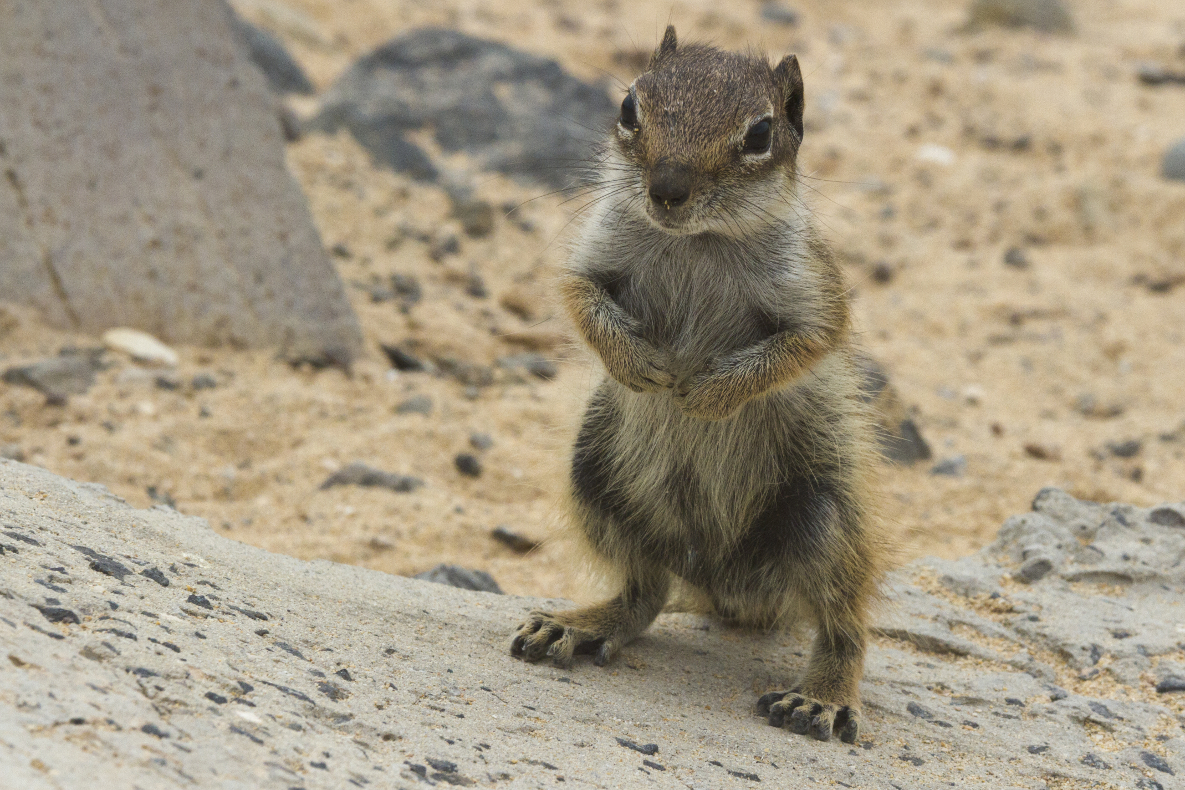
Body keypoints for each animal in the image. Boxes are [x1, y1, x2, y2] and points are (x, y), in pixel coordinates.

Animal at [511, 29, 891, 748]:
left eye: (760, 134)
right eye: (629, 106)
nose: (667, 189)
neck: (697, 242)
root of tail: (723, 584)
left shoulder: (813, 292)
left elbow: (806, 343)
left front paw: (707, 395)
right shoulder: (593, 254)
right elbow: (580, 299)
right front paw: (640, 367)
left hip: (823, 516)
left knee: (844, 625)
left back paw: (820, 698)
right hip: (592, 476)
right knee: (645, 592)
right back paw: (577, 625)